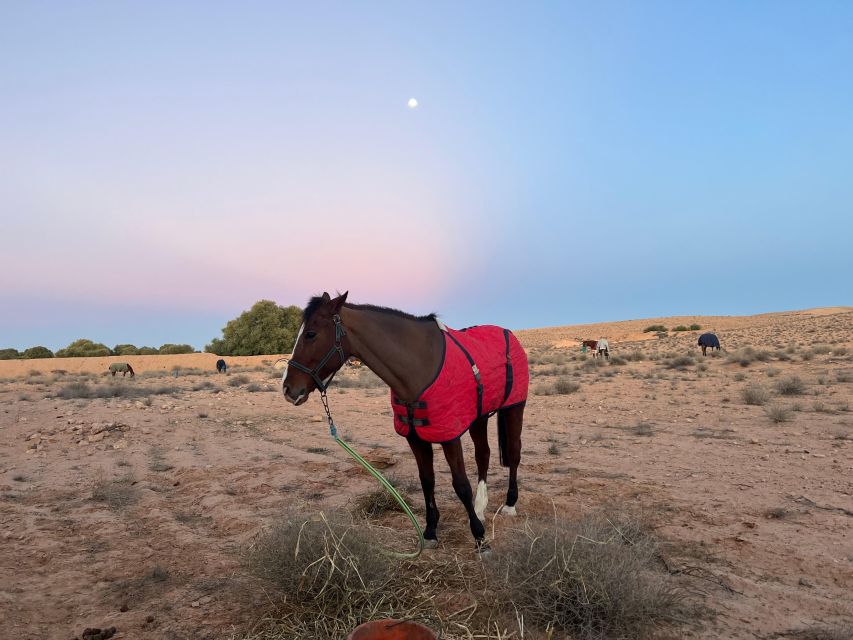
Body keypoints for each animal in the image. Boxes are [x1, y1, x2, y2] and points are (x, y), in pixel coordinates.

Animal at [282, 292, 528, 552]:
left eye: (311, 334)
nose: (287, 389)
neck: (419, 365)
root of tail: (508, 333)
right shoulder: (415, 438)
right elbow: (427, 481)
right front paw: (430, 531)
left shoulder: (449, 436)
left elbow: (461, 485)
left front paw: (479, 537)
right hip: (478, 417)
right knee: (483, 454)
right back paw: (480, 507)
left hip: (514, 409)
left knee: (513, 453)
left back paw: (510, 504)